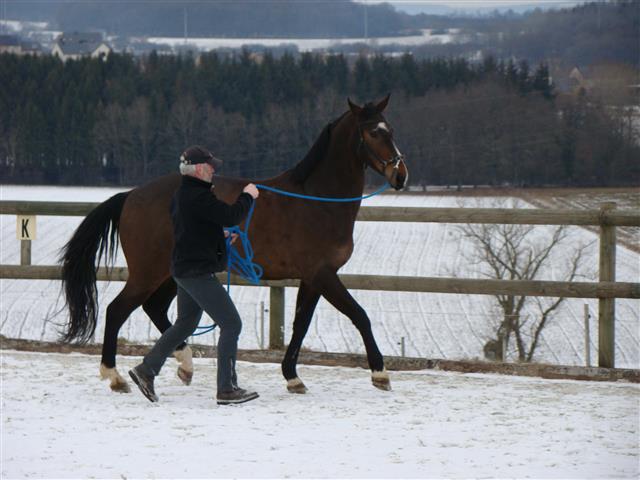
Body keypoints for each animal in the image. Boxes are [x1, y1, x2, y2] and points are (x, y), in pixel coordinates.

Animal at [61, 95, 410, 396]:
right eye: (374, 132)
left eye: (392, 130)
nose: (400, 175)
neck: (318, 201)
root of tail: (131, 195)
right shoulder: (323, 274)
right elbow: (359, 315)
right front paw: (380, 373)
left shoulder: (313, 279)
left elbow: (299, 325)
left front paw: (292, 377)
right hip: (147, 273)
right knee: (117, 310)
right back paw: (115, 376)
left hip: (171, 274)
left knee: (155, 309)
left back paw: (185, 365)